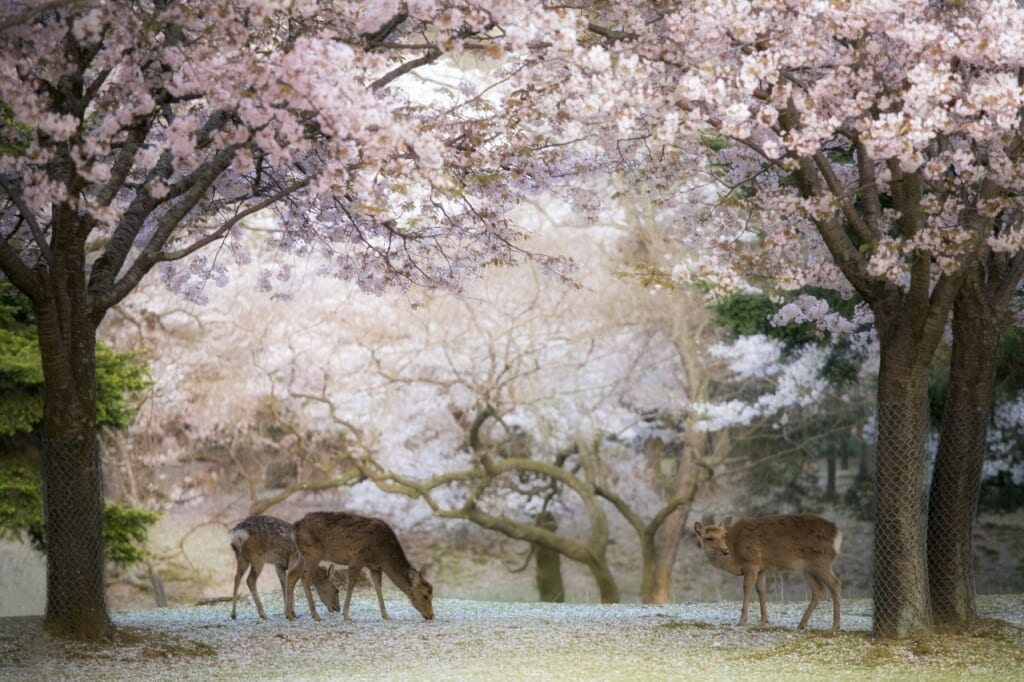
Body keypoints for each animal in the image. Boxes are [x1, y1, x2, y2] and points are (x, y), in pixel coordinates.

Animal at [286, 507, 434, 618]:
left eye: (432, 594)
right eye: (425, 595)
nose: (431, 615)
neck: (383, 555)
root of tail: (295, 527)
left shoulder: (375, 567)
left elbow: (378, 586)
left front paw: (386, 615)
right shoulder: (357, 558)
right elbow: (351, 584)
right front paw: (346, 615)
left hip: (302, 555)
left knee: (292, 576)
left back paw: (290, 615)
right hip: (313, 553)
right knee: (305, 578)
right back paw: (315, 615)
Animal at [692, 512, 843, 630]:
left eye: (724, 535)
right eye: (709, 538)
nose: (725, 551)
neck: (734, 557)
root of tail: (837, 534)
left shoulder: (751, 562)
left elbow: (747, 588)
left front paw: (742, 621)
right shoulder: (761, 568)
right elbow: (761, 590)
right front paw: (764, 621)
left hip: (820, 561)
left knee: (835, 583)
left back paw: (835, 626)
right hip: (807, 567)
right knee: (818, 589)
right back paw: (801, 624)